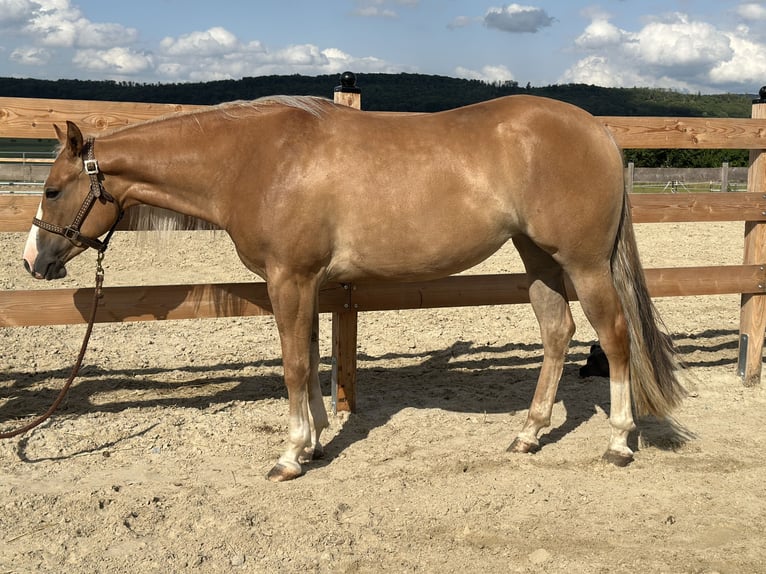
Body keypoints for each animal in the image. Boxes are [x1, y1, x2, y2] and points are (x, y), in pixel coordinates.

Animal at [21, 94, 686, 481]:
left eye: (52, 189)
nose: (32, 261)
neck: (257, 160)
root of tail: (598, 130)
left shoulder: (290, 278)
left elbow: (293, 363)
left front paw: (291, 455)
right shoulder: (308, 282)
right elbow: (312, 355)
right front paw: (315, 441)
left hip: (585, 262)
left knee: (614, 335)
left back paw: (620, 443)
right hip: (537, 257)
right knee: (558, 331)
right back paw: (527, 434)